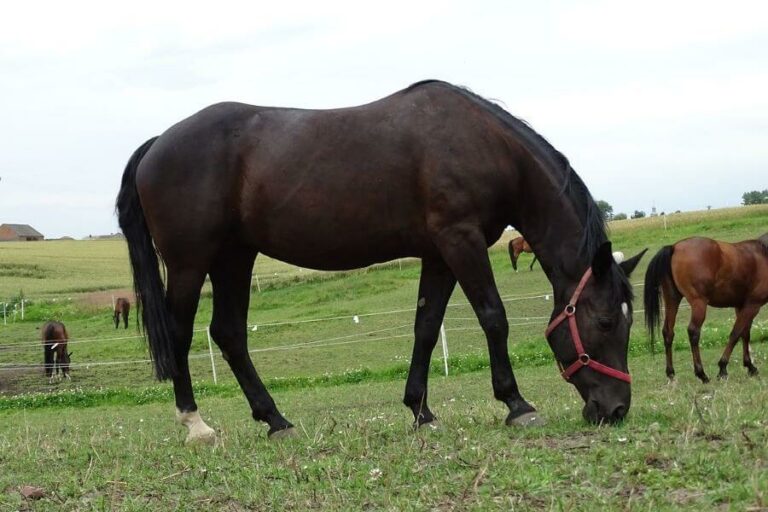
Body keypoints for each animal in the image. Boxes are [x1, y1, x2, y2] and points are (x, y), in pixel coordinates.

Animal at [116, 80, 646, 443]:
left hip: (234, 258)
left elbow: (426, 328)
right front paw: (516, 404)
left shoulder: (438, 253)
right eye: (604, 321)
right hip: (191, 262)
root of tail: (158, 142)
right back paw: (196, 425)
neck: (482, 143)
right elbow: (493, 316)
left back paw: (277, 421)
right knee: (182, 335)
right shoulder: (461, 240)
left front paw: (421, 411)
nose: (616, 409)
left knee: (228, 334)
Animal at [644, 234, 768, 382]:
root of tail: (674, 247)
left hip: (672, 300)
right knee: (693, 332)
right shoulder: (753, 305)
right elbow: (735, 334)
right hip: (699, 303)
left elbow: (745, 334)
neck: (764, 253)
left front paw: (750, 366)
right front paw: (722, 368)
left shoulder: (741, 306)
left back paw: (671, 373)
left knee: (668, 332)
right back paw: (701, 374)